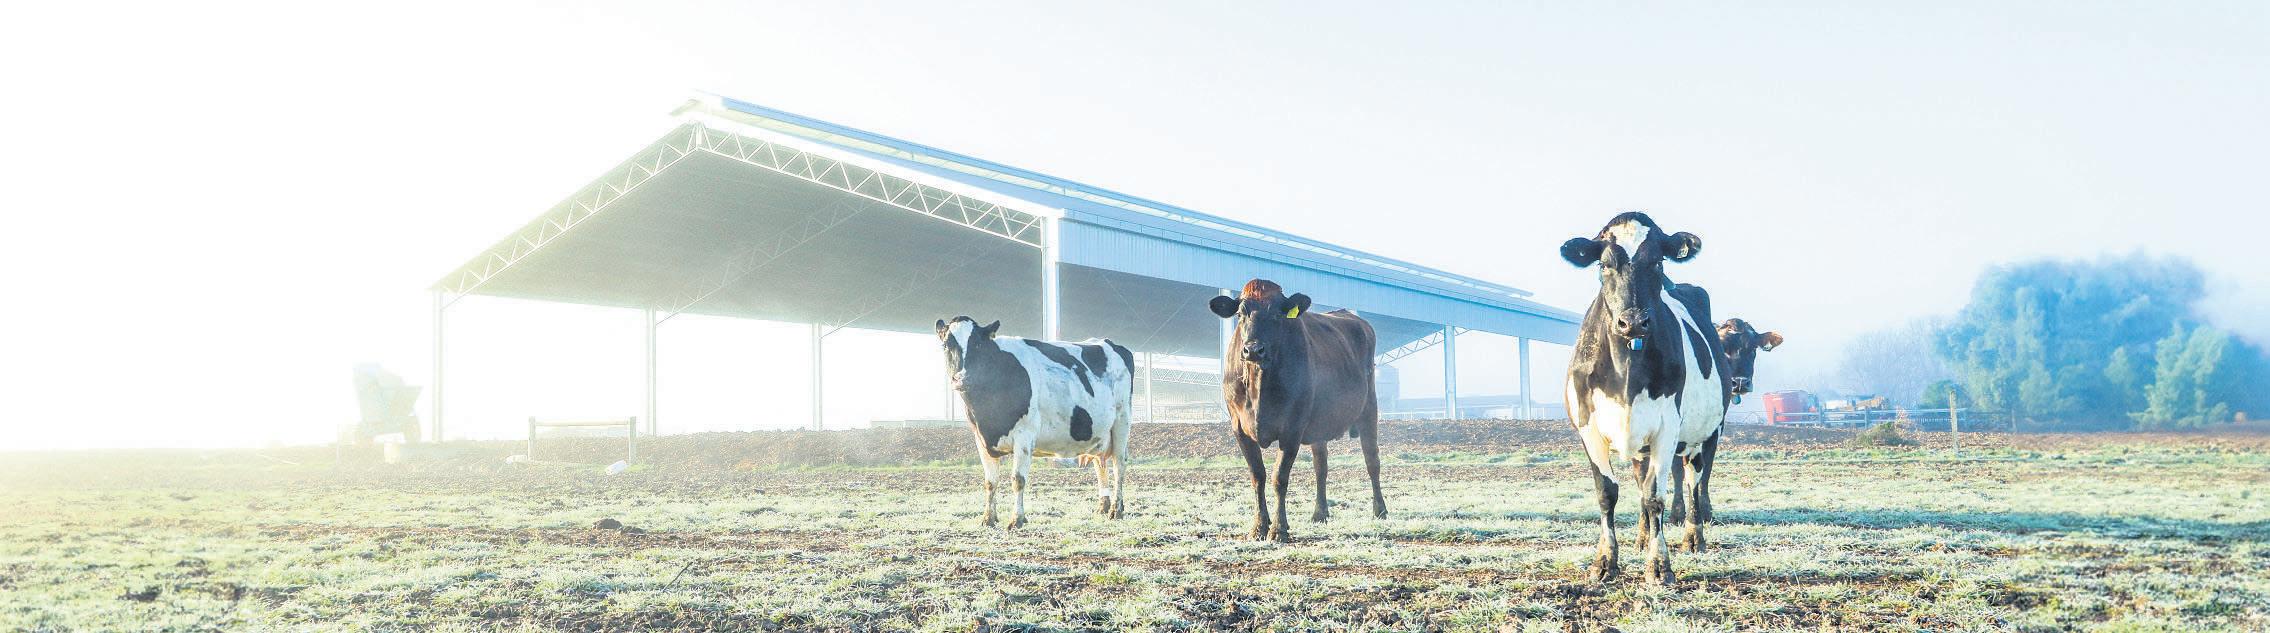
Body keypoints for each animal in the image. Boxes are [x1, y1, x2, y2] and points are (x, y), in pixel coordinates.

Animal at [936, 316, 1135, 529]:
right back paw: (1103, 507)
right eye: (946, 345)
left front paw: (1017, 519)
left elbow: (1018, 479)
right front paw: (988, 518)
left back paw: (1116, 509)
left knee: (1119, 464)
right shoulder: (981, 439)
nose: (962, 379)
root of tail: (1109, 343)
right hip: (1100, 433)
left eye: (978, 344)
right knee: (1100, 463)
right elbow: (990, 482)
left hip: (1122, 421)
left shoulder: (1024, 435)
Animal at [1209, 279, 1385, 543]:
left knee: (1372, 460)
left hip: (1369, 409)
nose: (1253, 350)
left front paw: (1279, 529)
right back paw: (1320, 514)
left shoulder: (1292, 428)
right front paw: (1258, 527)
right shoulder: (1239, 429)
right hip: (1320, 425)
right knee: (1321, 466)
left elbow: (1279, 477)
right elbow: (1258, 476)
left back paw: (1380, 510)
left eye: (1277, 314)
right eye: (1240, 313)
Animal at [1558, 212, 1727, 584]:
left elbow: (1655, 495)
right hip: (1641, 447)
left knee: (1695, 480)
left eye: (1658, 262)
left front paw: (1659, 565)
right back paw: (1640, 536)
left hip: (1708, 433)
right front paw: (1605, 561)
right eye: (1604, 264)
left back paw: (1693, 538)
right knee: (1641, 482)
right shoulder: (1588, 427)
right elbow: (1608, 493)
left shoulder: (1667, 428)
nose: (1633, 322)